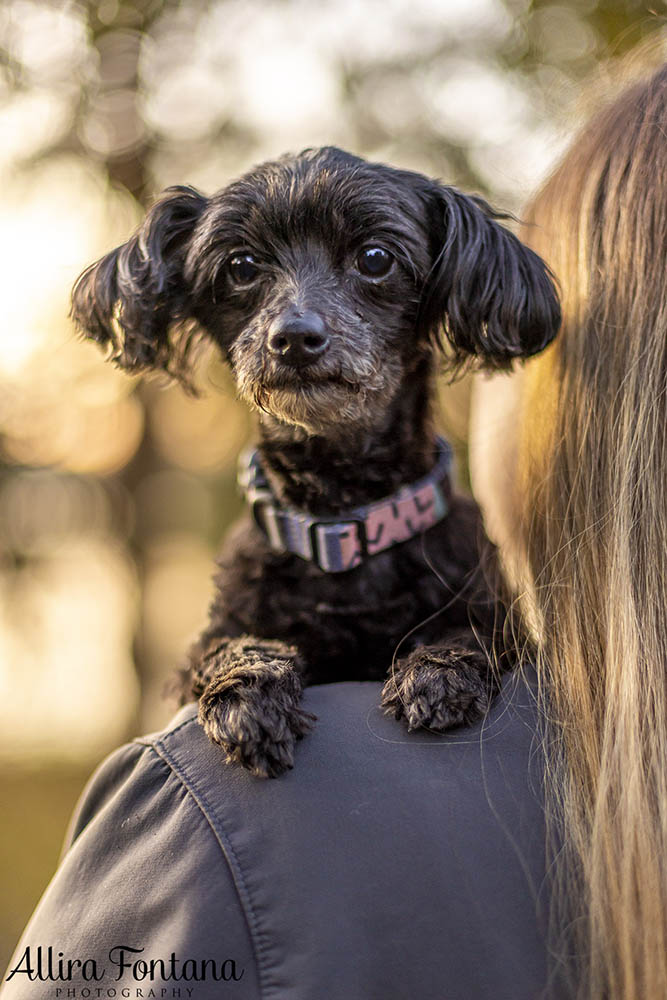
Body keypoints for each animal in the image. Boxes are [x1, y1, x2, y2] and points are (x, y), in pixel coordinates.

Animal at [73, 148, 560, 776]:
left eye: (375, 258)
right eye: (241, 266)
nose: (295, 337)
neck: (340, 519)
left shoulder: (494, 611)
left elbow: (472, 631)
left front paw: (436, 673)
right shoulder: (212, 640)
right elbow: (233, 645)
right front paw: (251, 700)